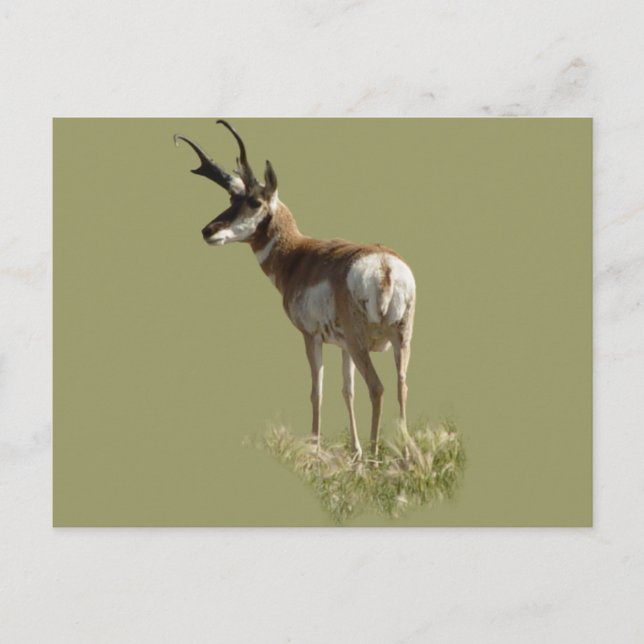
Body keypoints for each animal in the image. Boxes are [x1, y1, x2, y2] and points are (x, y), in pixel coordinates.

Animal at [174, 120, 416, 459]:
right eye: (232, 200)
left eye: (253, 201)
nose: (208, 230)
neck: (299, 254)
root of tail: (383, 265)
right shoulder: (343, 346)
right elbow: (347, 391)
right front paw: (353, 453)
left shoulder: (311, 336)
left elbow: (317, 391)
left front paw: (314, 451)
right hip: (400, 339)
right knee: (401, 386)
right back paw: (404, 458)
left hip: (362, 342)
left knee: (377, 387)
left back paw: (375, 456)